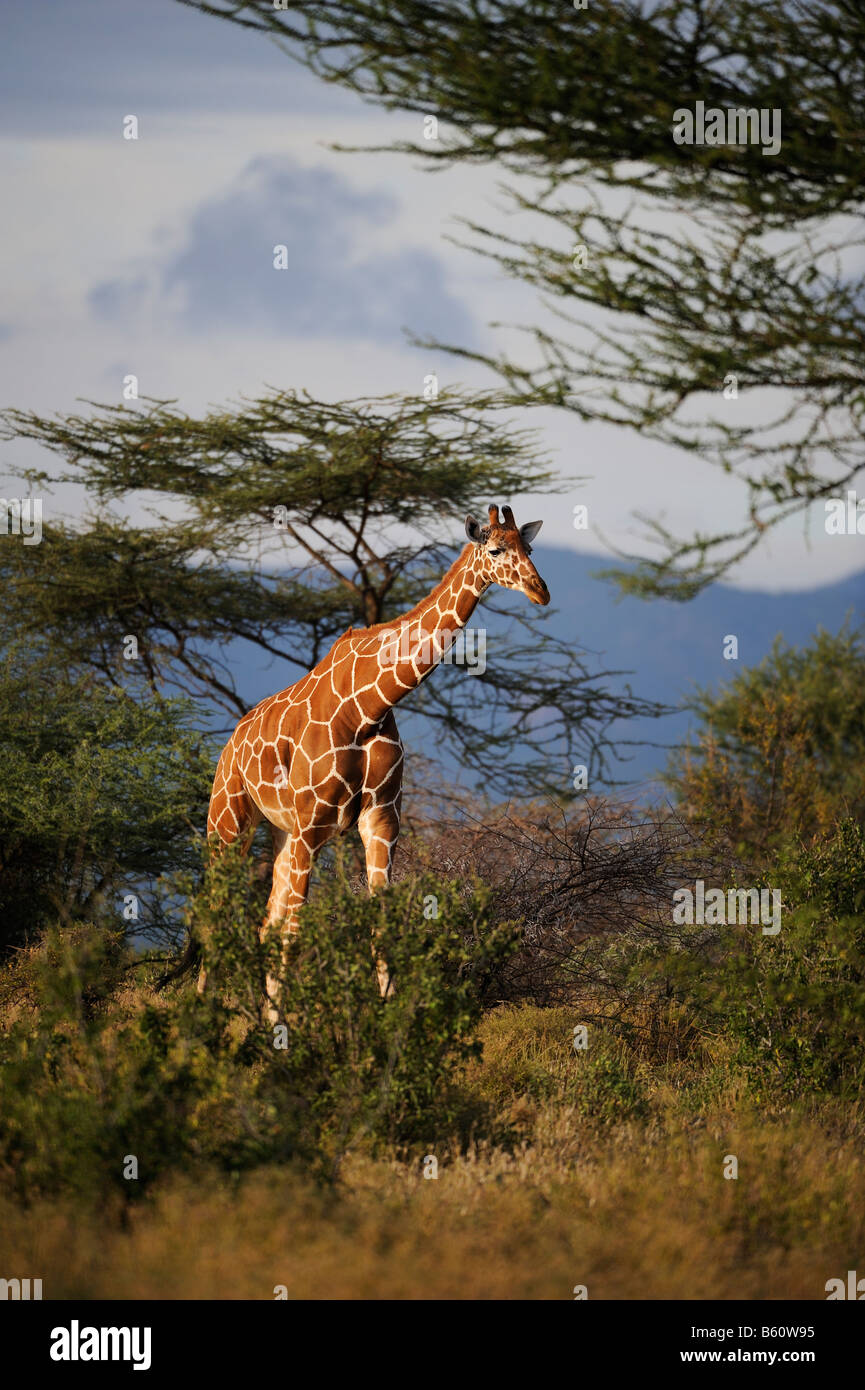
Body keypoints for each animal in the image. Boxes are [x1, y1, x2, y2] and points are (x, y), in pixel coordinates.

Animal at [204, 503, 547, 1011]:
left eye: (529, 548)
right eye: (495, 550)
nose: (540, 590)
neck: (368, 705)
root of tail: (231, 743)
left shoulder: (380, 820)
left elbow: (379, 928)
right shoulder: (313, 827)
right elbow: (298, 933)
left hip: (281, 833)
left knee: (266, 925)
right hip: (228, 823)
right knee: (217, 918)